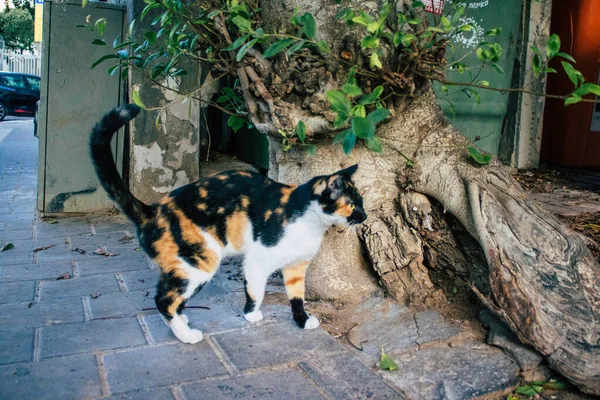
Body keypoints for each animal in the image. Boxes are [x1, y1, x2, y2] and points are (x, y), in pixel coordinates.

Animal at [91, 105, 368, 344]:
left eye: (362, 202)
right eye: (353, 205)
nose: (365, 217)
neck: (308, 221)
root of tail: (152, 210)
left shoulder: (296, 266)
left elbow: (297, 296)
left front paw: (302, 320)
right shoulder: (258, 260)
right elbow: (256, 290)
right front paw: (251, 315)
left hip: (181, 265)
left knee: (167, 291)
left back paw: (183, 320)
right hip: (200, 260)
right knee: (163, 299)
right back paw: (187, 335)